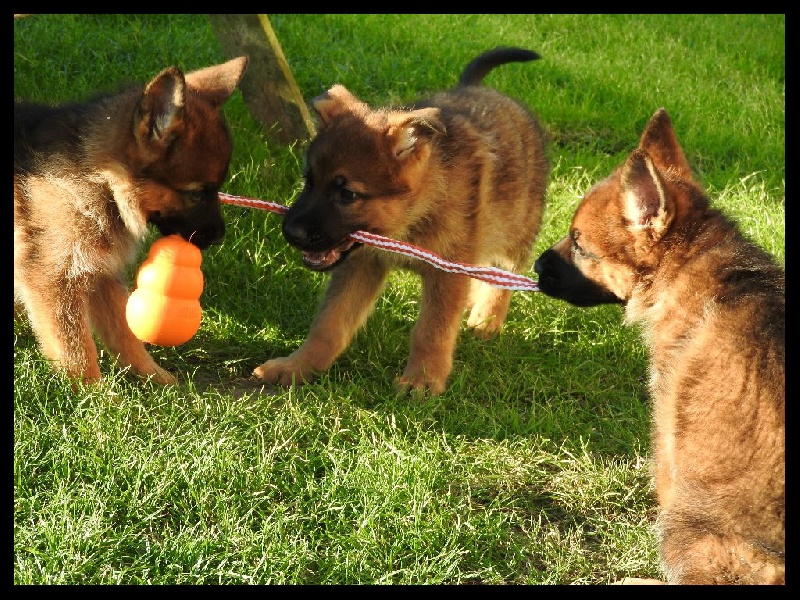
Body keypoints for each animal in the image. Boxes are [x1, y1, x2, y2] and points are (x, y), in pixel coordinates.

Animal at [14, 55, 247, 384]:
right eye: (197, 193)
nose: (219, 237)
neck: (102, 182)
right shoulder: (54, 280)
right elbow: (76, 350)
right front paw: (92, 393)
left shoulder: (101, 274)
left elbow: (126, 335)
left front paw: (158, 380)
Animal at [256, 45, 552, 394]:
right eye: (308, 181)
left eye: (347, 194)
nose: (291, 232)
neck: (413, 218)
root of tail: (477, 87)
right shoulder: (362, 263)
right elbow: (330, 322)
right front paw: (298, 366)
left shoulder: (445, 271)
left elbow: (432, 329)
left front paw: (422, 380)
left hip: (516, 228)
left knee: (502, 273)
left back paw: (487, 318)